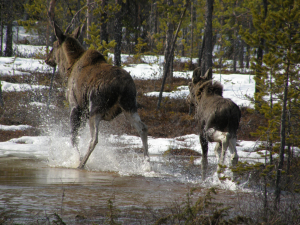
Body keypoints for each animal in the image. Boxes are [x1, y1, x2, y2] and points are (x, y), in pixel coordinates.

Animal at [45, 23, 148, 170]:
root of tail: (122, 85)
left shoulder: (76, 107)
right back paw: (147, 165)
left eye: (54, 45)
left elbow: (73, 137)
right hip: (129, 106)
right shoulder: (83, 112)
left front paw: (76, 158)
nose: (47, 59)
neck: (69, 66)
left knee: (94, 139)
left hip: (95, 109)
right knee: (143, 128)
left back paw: (81, 163)